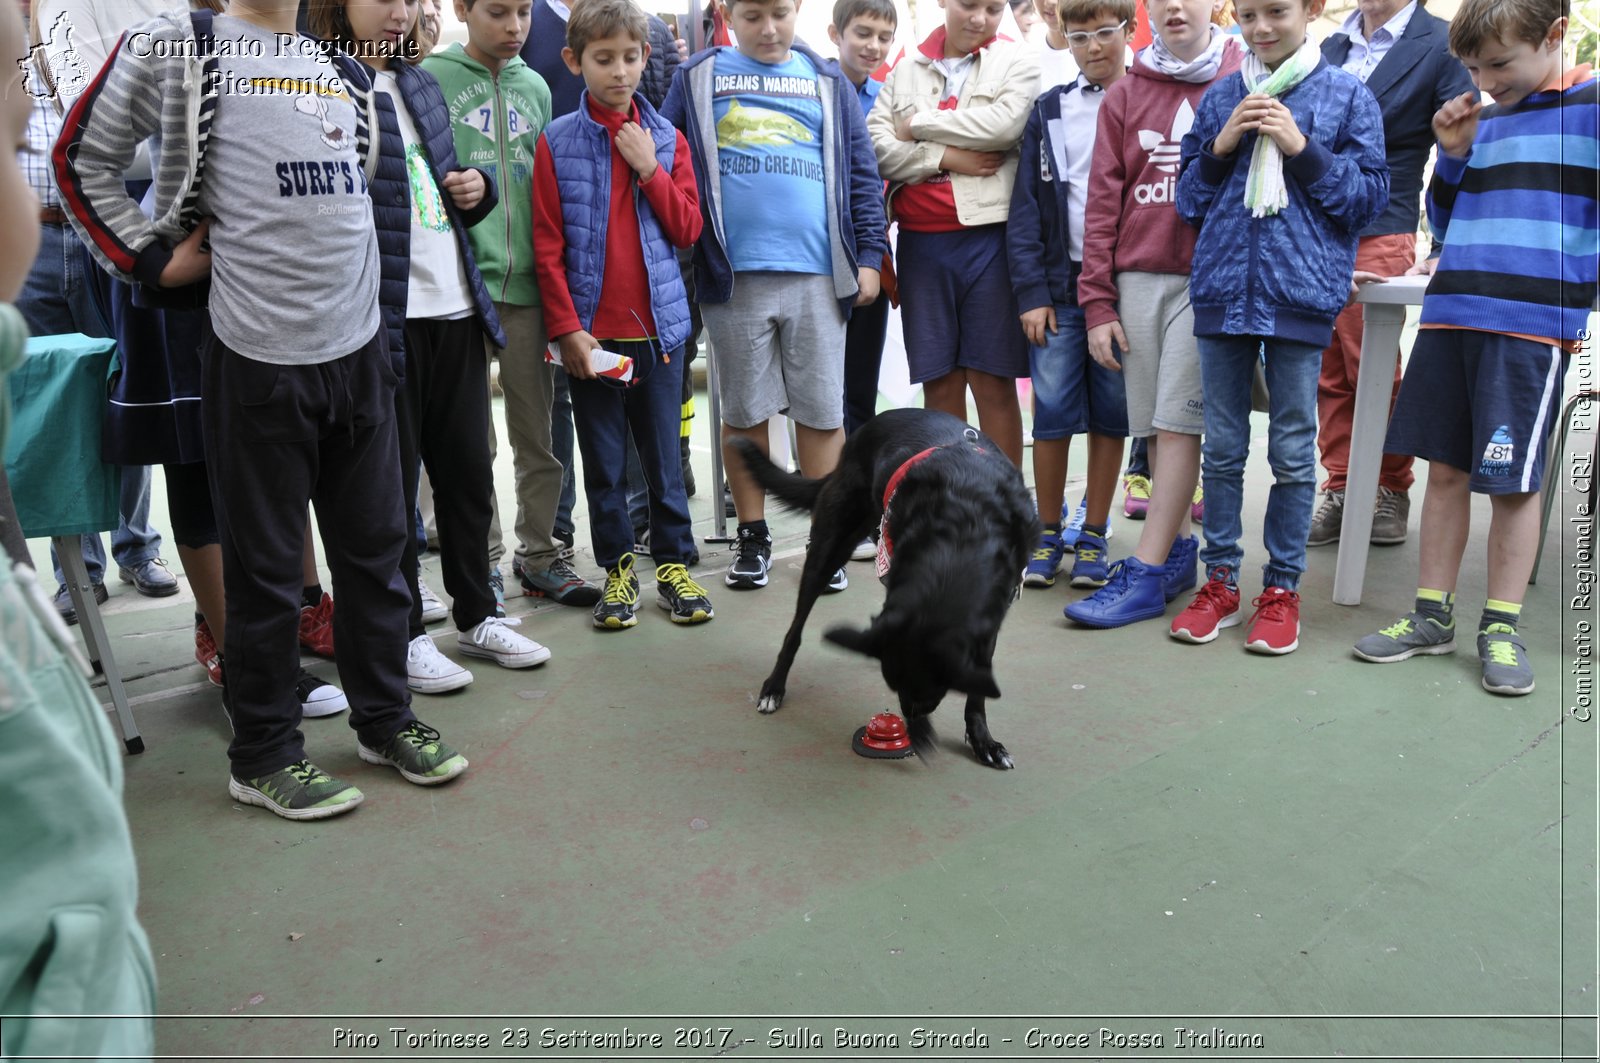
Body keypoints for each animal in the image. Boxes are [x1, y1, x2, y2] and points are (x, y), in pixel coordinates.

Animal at [729, 408, 1036, 771]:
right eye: (896, 685)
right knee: (795, 629)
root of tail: (861, 434)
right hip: (828, 549)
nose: (916, 720)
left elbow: (980, 681)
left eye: (938, 686)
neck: (961, 541)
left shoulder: (993, 612)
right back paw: (774, 687)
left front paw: (982, 740)